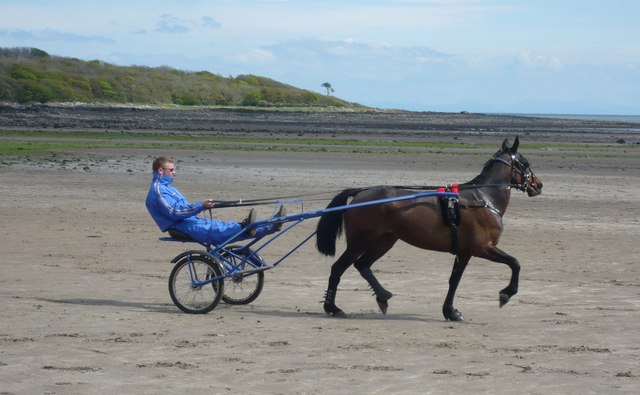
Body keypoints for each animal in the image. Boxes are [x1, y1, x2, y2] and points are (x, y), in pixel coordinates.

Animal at [314, 137, 540, 322]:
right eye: (526, 163)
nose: (538, 184)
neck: (483, 199)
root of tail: (360, 193)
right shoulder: (482, 248)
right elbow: (515, 263)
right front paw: (506, 294)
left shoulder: (464, 252)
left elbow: (454, 281)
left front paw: (450, 311)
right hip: (360, 242)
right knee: (338, 268)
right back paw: (333, 307)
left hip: (384, 241)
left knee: (362, 265)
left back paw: (383, 296)